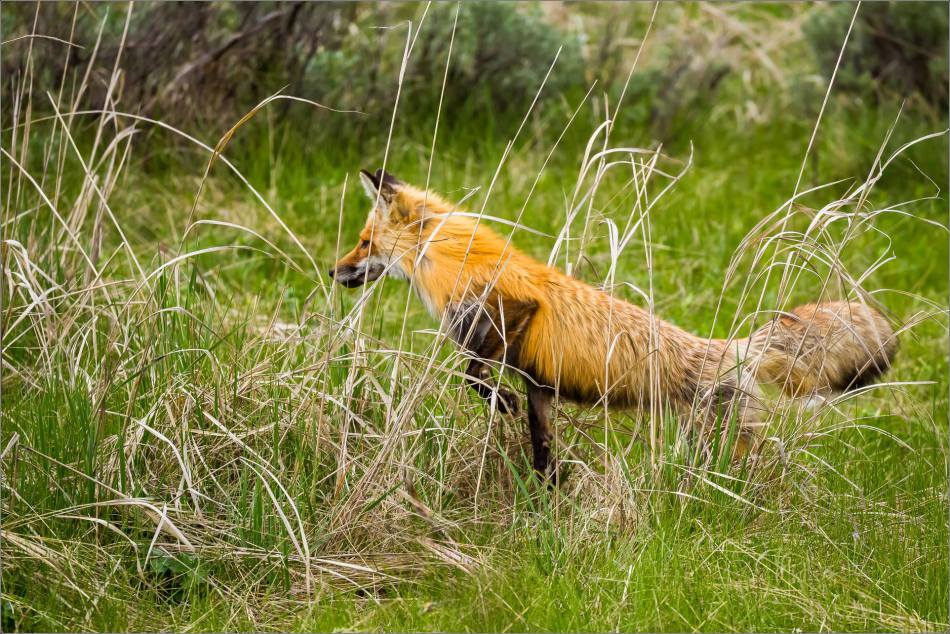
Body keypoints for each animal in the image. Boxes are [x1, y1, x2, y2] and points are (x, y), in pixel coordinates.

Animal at [329, 168, 898, 480]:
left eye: (362, 241)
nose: (334, 271)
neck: (454, 261)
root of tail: (729, 347)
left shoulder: (512, 310)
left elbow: (470, 373)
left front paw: (498, 401)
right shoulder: (538, 381)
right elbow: (539, 443)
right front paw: (547, 495)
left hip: (724, 435)